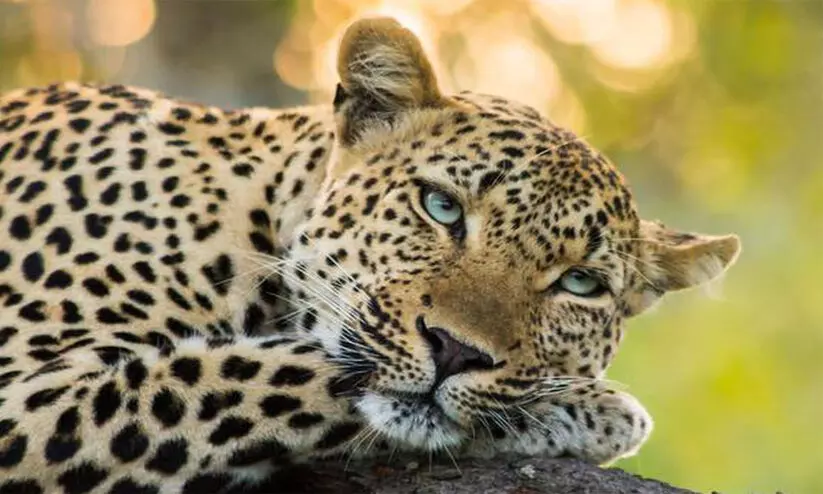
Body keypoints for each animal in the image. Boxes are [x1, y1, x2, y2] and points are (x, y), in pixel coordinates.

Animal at [0, 17, 740, 494]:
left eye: (580, 283)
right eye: (441, 206)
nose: (456, 352)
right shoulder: (27, 393)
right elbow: (254, 371)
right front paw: (596, 409)